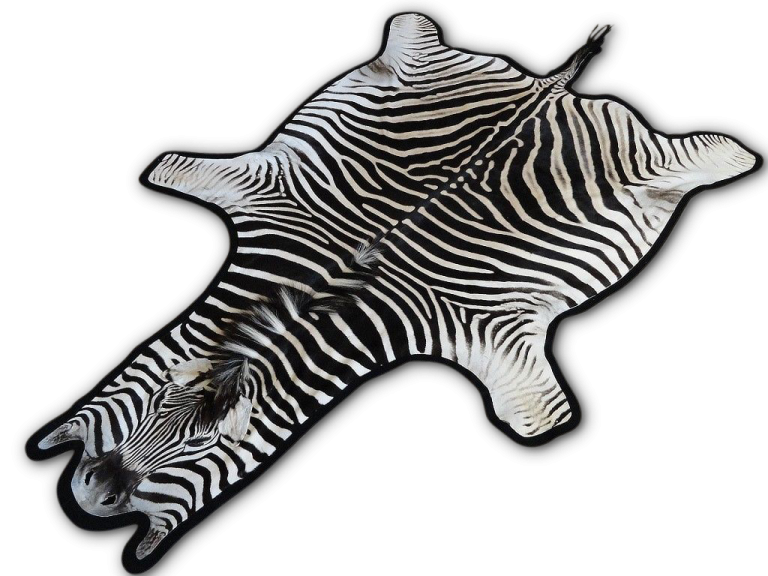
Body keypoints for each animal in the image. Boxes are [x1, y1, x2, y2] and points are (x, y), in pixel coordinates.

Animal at [26, 11, 759, 569]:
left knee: (719, 155)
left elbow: (539, 414)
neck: (316, 297)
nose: (93, 494)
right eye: (156, 404)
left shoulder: (490, 336)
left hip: (663, 161)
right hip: (413, 56)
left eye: (206, 448)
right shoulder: (263, 192)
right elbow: (181, 172)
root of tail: (550, 89)